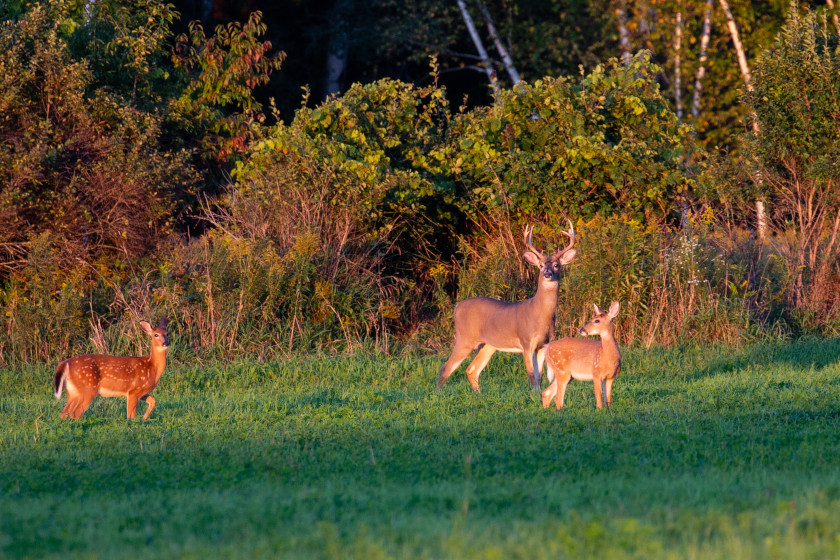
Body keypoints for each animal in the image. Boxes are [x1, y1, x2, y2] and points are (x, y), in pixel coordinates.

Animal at [434, 223, 576, 394]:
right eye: (541, 265)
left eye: (557, 265)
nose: (547, 274)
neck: (540, 314)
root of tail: (457, 307)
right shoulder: (526, 341)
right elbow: (531, 375)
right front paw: (533, 394)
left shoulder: (544, 344)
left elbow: (540, 377)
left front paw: (537, 394)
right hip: (465, 338)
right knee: (445, 368)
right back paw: (437, 395)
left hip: (488, 345)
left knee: (472, 369)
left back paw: (478, 394)